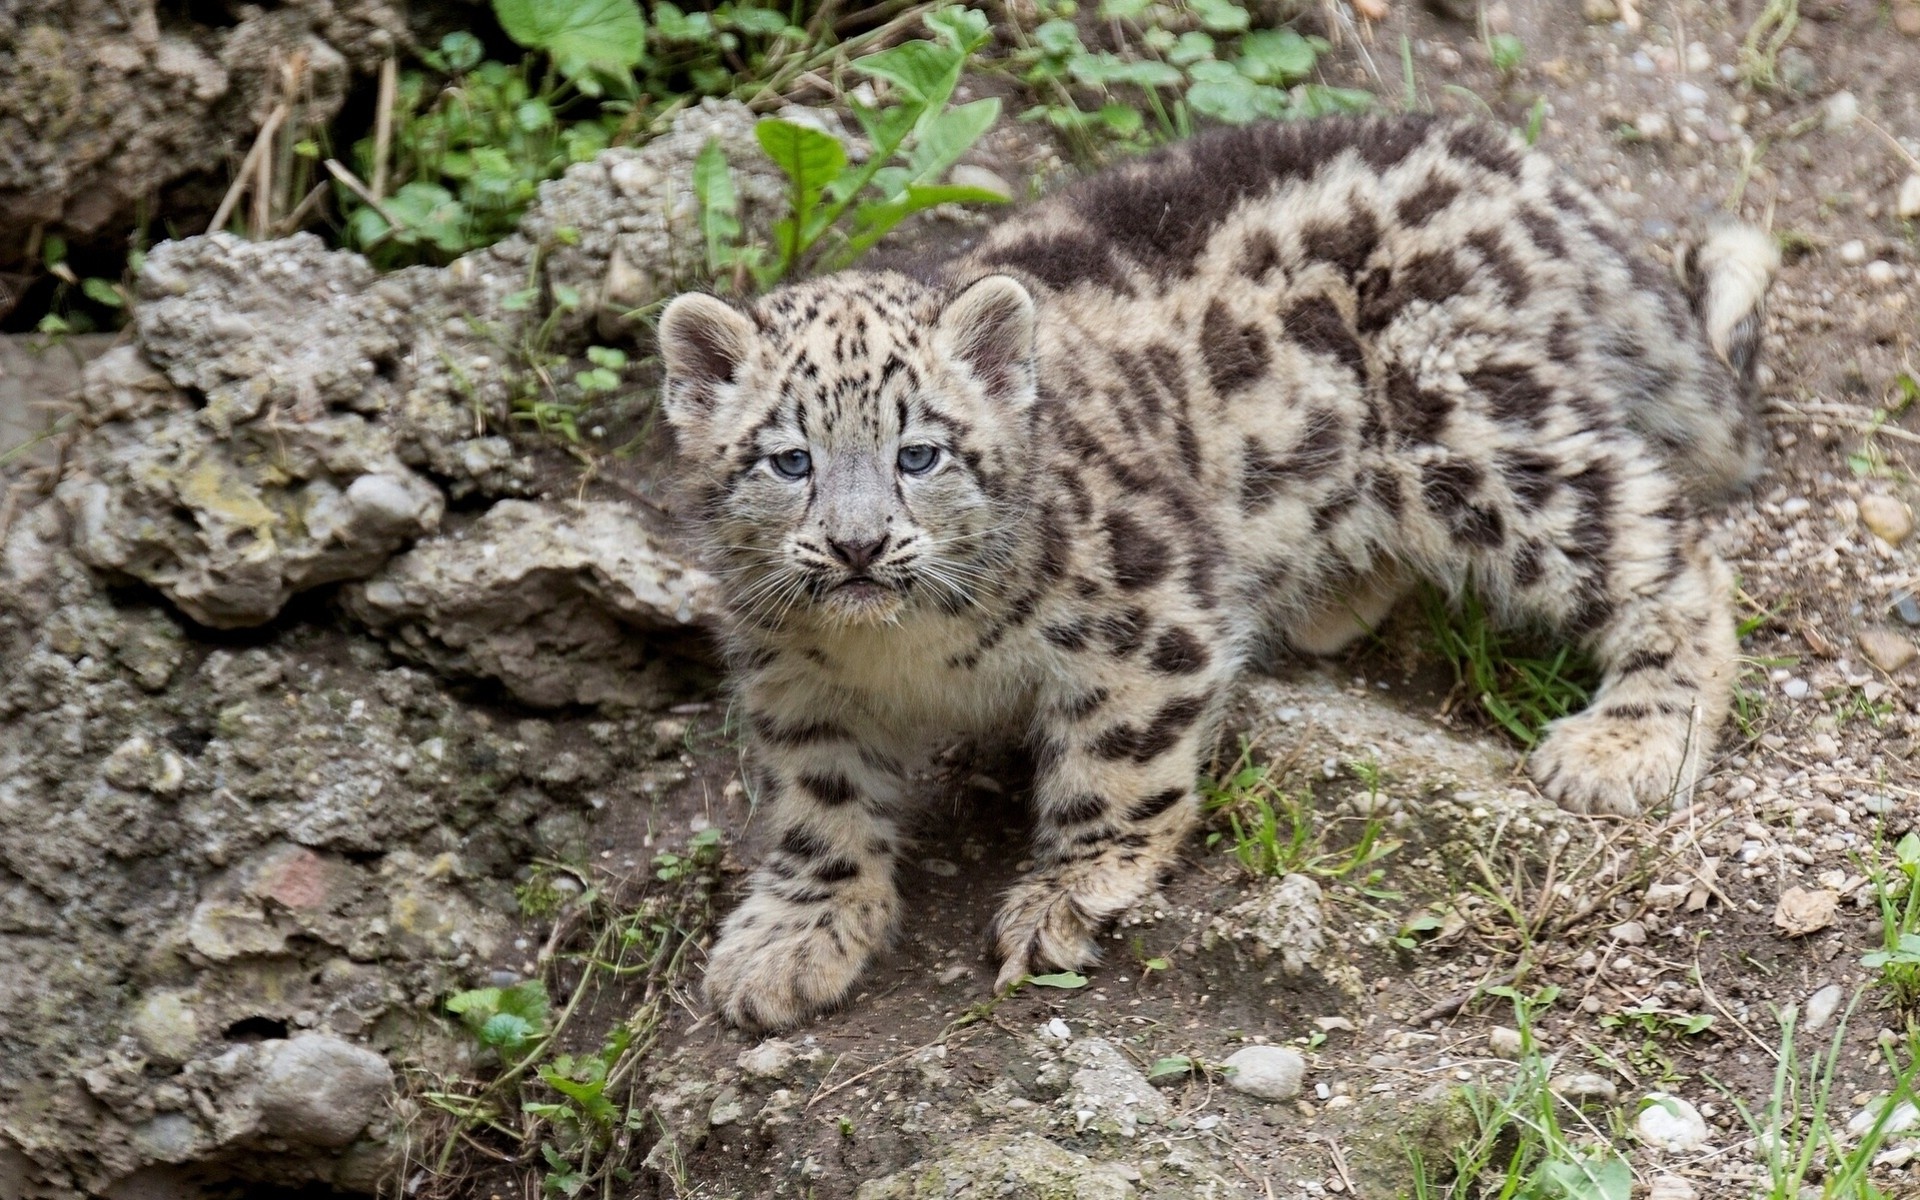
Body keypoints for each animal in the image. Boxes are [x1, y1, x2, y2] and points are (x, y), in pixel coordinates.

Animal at [653, 114, 1778, 1032]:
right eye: (787, 460)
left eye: (920, 453)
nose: (856, 545)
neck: (902, 653)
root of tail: (1520, 167)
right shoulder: (794, 681)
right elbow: (819, 802)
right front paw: (791, 940)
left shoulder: (1145, 606)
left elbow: (1118, 759)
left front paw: (1067, 894)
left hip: (1470, 423)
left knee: (1664, 546)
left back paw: (1628, 741)